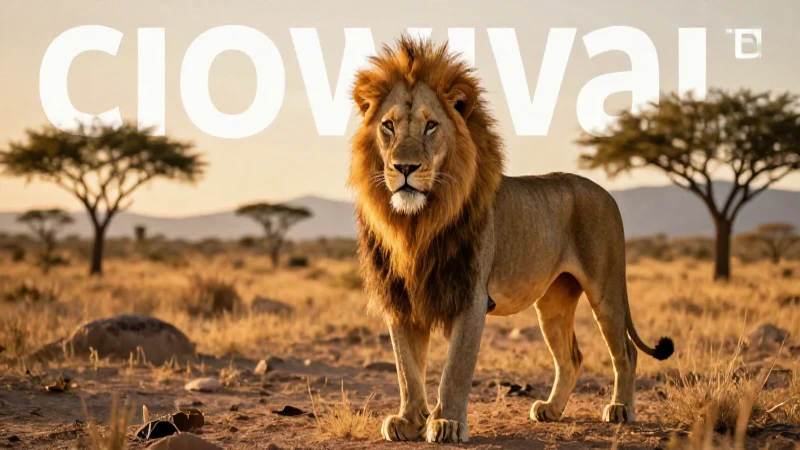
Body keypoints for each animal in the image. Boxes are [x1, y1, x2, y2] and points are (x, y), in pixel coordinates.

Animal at [348, 36, 674, 444]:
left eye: (431, 126)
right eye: (388, 126)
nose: (405, 168)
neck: (415, 224)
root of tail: (605, 192)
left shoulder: (470, 296)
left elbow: (454, 368)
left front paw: (447, 422)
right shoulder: (402, 298)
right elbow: (407, 369)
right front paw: (408, 420)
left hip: (606, 289)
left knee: (626, 351)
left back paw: (620, 409)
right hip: (552, 302)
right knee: (571, 357)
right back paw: (550, 410)